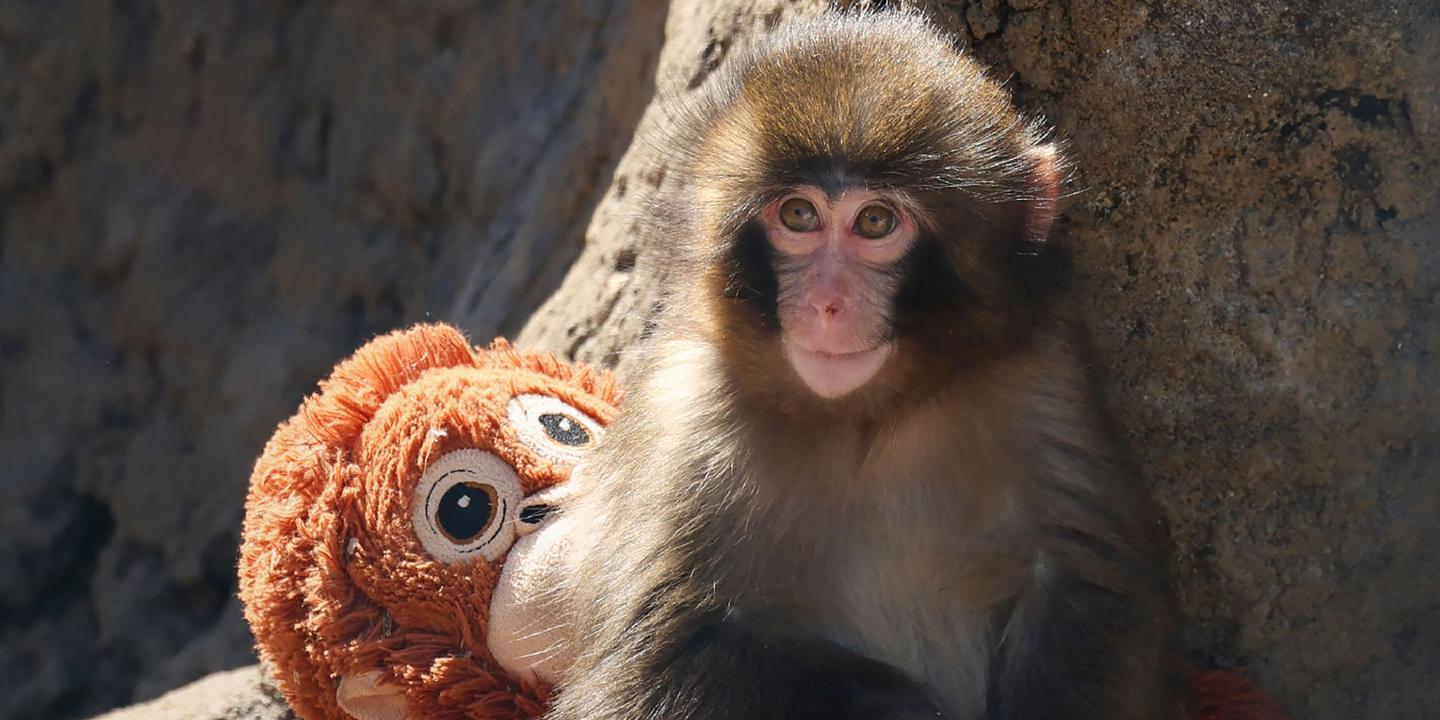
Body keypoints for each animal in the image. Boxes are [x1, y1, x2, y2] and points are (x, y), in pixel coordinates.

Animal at [541, 11, 1180, 720]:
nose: (827, 303)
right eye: (799, 215)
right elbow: (655, 661)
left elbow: (1088, 588)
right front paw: (900, 703)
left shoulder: (1042, 373)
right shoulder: (688, 415)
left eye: (875, 222)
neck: (865, 417)